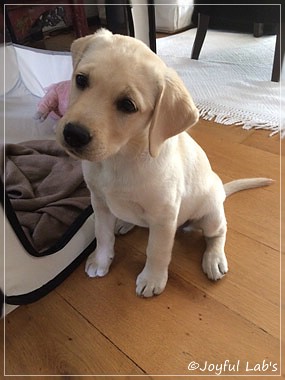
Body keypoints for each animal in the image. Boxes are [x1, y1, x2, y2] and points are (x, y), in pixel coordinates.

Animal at [56, 29, 270, 296]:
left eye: (128, 105)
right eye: (81, 80)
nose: (73, 134)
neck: (120, 158)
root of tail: (220, 190)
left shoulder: (164, 216)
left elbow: (156, 250)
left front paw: (152, 279)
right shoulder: (100, 202)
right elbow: (103, 235)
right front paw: (101, 260)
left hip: (210, 214)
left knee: (219, 232)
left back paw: (214, 259)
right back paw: (125, 223)